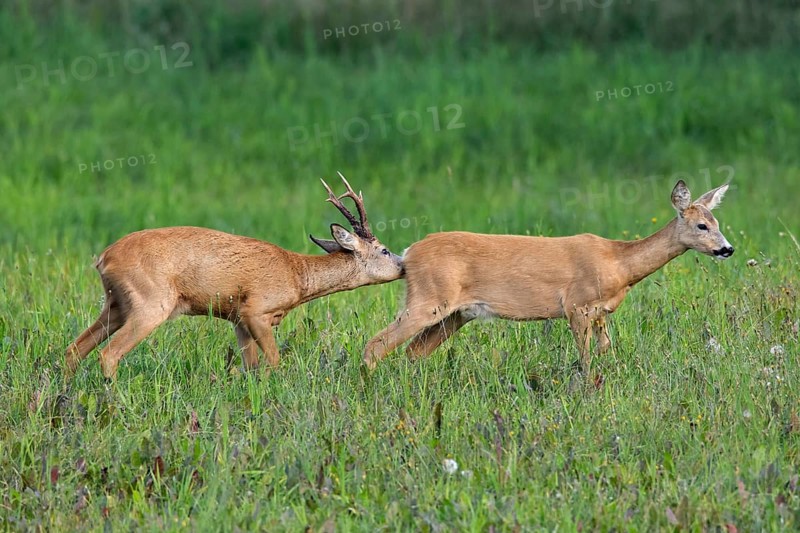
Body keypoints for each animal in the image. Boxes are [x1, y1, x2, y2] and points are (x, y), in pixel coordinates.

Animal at [65, 173, 403, 380]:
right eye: (385, 250)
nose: (403, 266)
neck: (298, 275)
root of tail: (104, 258)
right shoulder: (255, 309)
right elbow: (274, 361)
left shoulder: (237, 319)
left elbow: (250, 367)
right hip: (151, 302)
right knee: (108, 354)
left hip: (116, 304)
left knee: (74, 349)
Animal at [364, 180, 734, 380]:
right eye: (701, 225)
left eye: (717, 222)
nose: (727, 249)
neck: (619, 264)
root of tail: (408, 254)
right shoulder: (577, 305)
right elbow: (585, 358)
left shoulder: (600, 312)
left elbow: (605, 350)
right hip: (428, 299)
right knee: (377, 344)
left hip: (456, 313)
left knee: (414, 352)